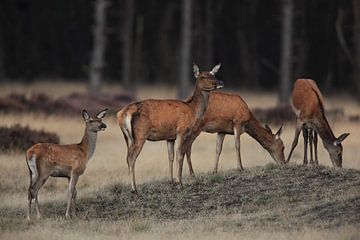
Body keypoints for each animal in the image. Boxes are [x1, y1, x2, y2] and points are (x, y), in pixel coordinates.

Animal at [116, 63, 224, 193]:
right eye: (204, 76)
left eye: (214, 74)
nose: (221, 82)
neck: (193, 110)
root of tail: (123, 113)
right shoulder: (181, 131)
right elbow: (180, 154)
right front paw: (179, 182)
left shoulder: (170, 137)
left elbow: (170, 156)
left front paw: (172, 181)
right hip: (140, 134)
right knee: (131, 158)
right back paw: (134, 188)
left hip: (127, 137)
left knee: (127, 157)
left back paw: (131, 186)